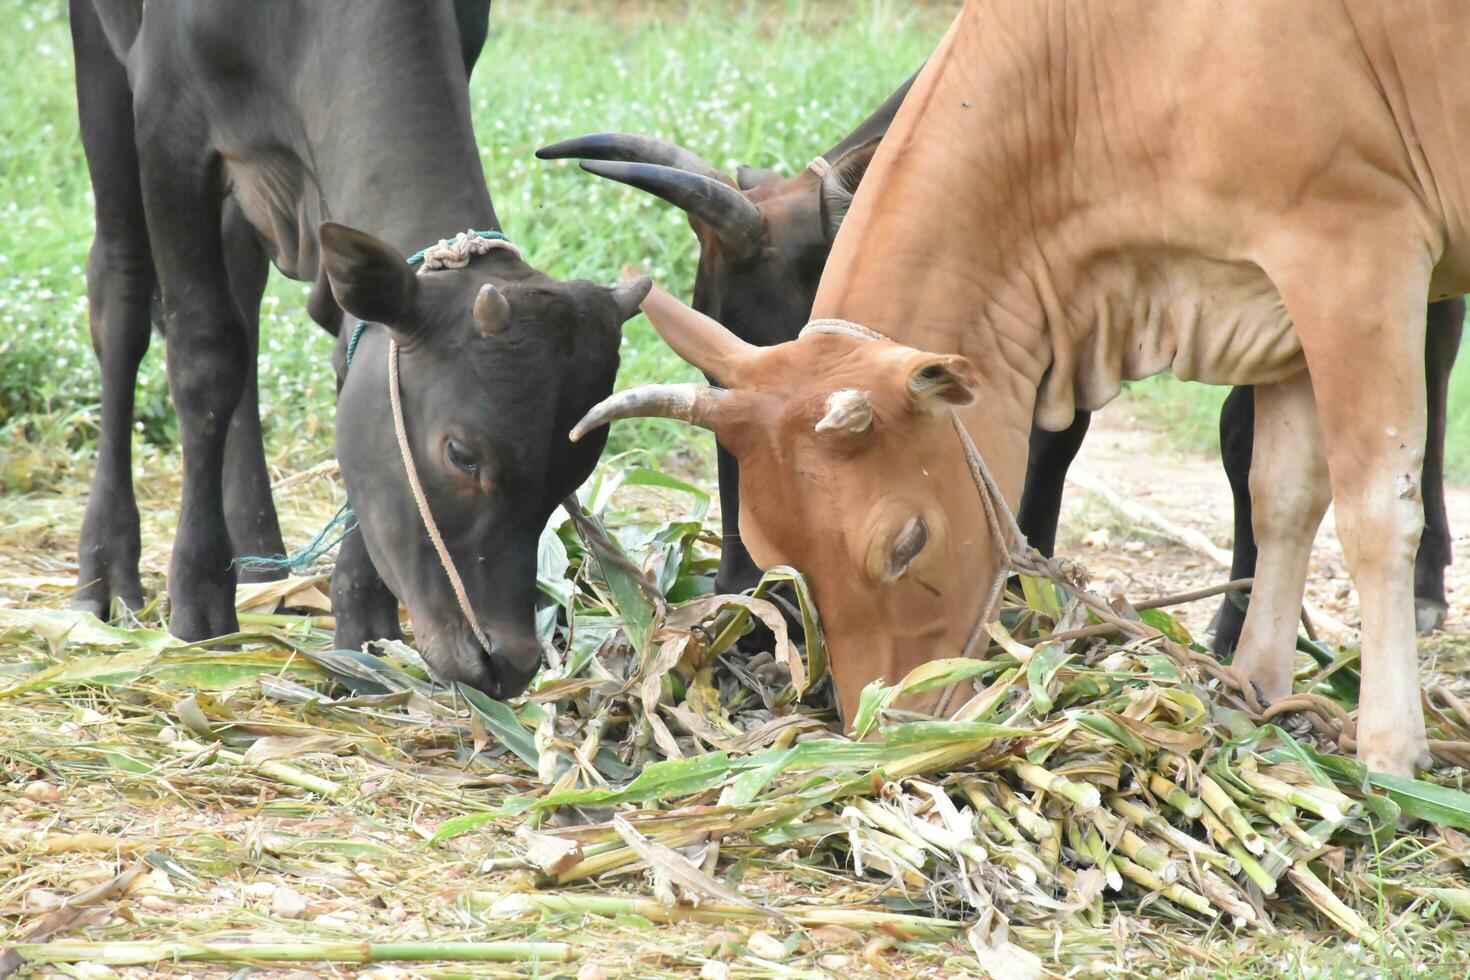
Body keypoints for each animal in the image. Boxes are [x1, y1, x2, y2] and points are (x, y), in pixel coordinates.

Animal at [69, 1, 643, 696]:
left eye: (573, 472)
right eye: (462, 454)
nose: (508, 661)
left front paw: (364, 621)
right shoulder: (166, 121)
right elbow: (205, 354)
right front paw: (199, 597)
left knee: (243, 296)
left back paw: (261, 556)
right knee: (121, 288)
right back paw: (107, 570)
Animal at [573, 1, 1470, 781]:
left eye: (909, 543)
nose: (743, 621)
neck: (1086, 72)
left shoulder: (1355, 250)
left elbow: (1363, 503)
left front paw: (1387, 749)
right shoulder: (1270, 294)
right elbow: (1279, 491)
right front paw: (1255, 688)